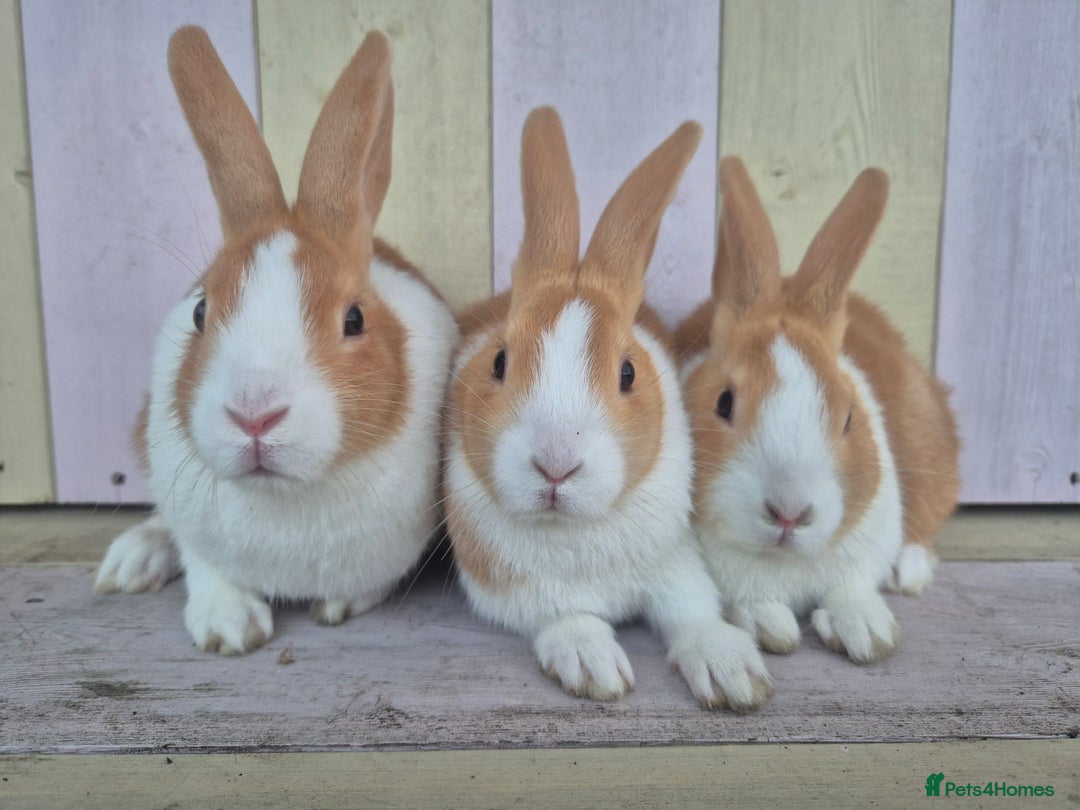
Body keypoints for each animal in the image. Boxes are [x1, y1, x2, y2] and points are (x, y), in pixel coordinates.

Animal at [93, 26, 459, 655]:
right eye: (200, 310)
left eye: (354, 320)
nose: (254, 416)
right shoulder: (198, 531)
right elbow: (207, 568)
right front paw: (229, 628)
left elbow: (370, 585)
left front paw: (336, 605)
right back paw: (131, 561)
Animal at [442, 108, 772, 711]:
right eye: (499, 361)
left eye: (628, 373)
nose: (555, 466)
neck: (575, 530)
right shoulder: (513, 591)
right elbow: (567, 617)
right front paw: (594, 666)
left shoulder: (675, 563)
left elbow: (692, 610)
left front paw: (730, 671)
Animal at [674, 156, 959, 664]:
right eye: (724, 403)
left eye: (849, 417)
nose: (789, 514)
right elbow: (752, 604)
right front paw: (771, 625)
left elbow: (851, 590)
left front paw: (868, 632)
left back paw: (909, 574)